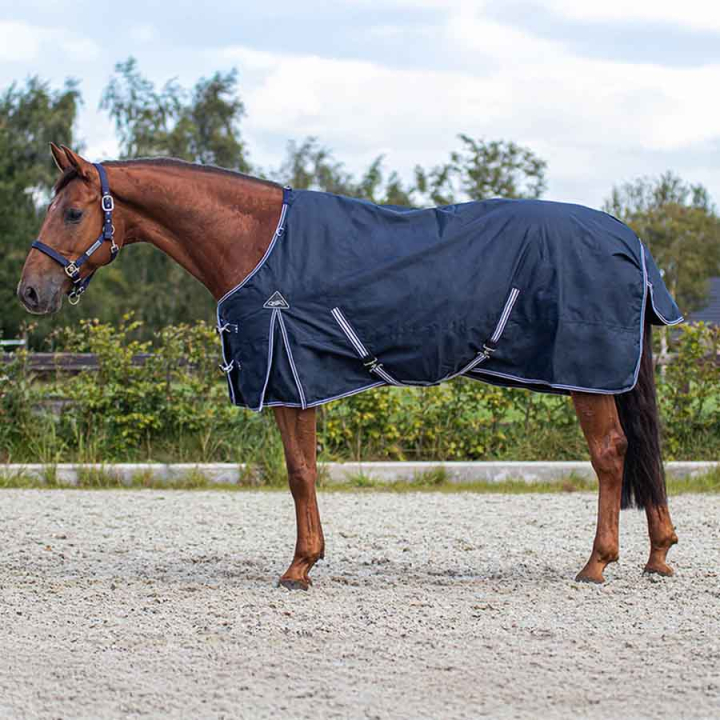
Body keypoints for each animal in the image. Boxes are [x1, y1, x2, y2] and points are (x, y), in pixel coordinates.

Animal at [17, 144, 680, 590]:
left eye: (72, 213)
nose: (30, 292)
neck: (255, 241)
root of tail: (630, 241)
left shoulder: (289, 377)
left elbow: (299, 472)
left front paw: (299, 566)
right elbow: (303, 470)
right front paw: (308, 559)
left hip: (587, 375)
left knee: (611, 454)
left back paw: (597, 564)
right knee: (641, 452)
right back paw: (658, 555)